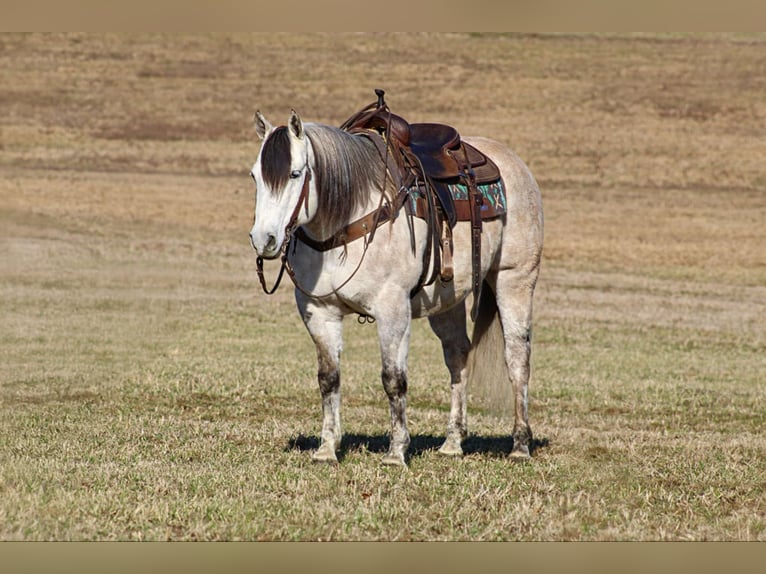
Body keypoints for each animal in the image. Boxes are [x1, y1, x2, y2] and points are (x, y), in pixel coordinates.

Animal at [249, 106, 544, 470]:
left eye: (294, 174)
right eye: (255, 176)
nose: (264, 239)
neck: (347, 219)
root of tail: (514, 164)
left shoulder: (392, 311)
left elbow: (393, 379)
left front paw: (396, 452)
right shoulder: (319, 313)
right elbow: (328, 378)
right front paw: (327, 448)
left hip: (514, 280)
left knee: (517, 358)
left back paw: (519, 444)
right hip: (447, 300)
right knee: (458, 356)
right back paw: (452, 442)